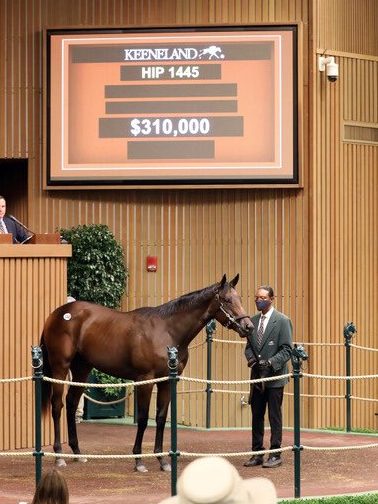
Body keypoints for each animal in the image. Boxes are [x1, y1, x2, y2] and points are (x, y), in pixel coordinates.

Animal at [39, 274, 252, 470]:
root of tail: (56, 314)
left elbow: (160, 417)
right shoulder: (145, 380)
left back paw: (77, 452)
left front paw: (162, 460)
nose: (248, 327)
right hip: (60, 367)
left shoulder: (167, 381)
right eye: (226, 300)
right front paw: (138, 460)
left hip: (82, 369)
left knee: (71, 403)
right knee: (57, 405)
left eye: (240, 298)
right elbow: (142, 418)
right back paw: (59, 456)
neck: (167, 331)